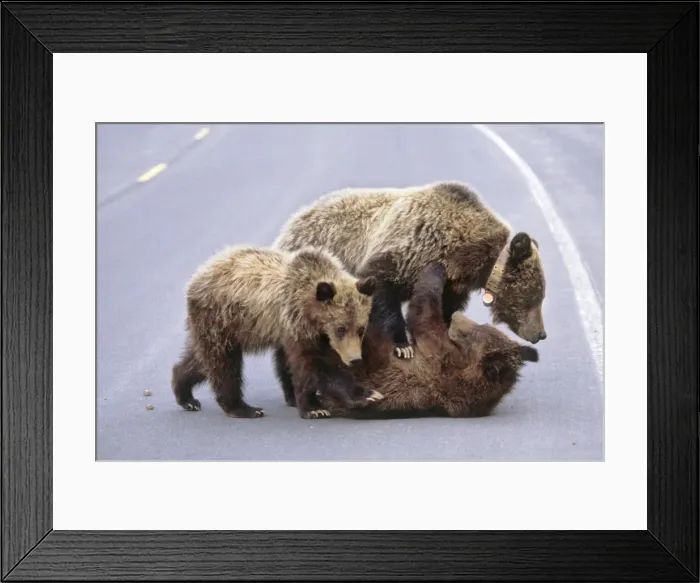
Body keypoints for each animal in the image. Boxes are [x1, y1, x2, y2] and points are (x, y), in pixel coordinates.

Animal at [170, 244, 382, 420]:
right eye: (341, 328)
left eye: (361, 329)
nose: (354, 359)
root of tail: (199, 273)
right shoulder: (297, 325)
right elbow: (314, 367)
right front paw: (323, 406)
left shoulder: (305, 333)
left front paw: (307, 401)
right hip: (220, 317)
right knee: (223, 362)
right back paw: (243, 408)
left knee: (201, 360)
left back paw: (185, 394)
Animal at [272, 180, 548, 360]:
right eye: (535, 298)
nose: (541, 334)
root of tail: (292, 222)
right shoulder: (410, 249)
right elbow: (380, 287)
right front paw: (403, 344)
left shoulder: (451, 283)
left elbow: (445, 310)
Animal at [312, 261, 540, 419]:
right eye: (483, 325)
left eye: (473, 331)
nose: (457, 316)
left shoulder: (438, 356)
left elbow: (423, 313)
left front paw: (436, 268)